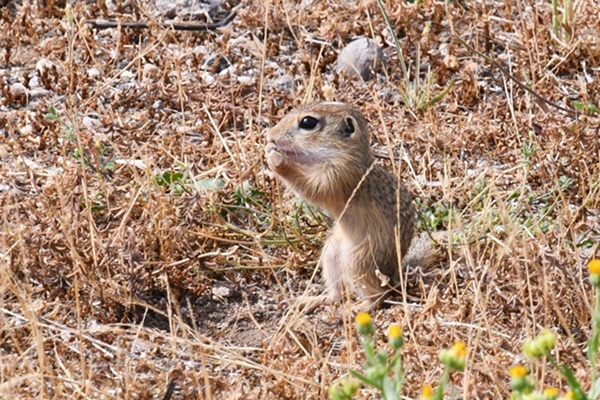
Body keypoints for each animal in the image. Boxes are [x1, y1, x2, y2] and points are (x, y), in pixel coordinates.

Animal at [264, 101, 438, 310]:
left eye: (308, 122)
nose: (270, 135)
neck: (344, 153)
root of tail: (395, 274)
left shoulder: (339, 176)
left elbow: (313, 189)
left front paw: (276, 160)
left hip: (357, 262)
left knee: (378, 296)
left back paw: (355, 309)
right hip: (331, 253)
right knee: (336, 295)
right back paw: (310, 301)